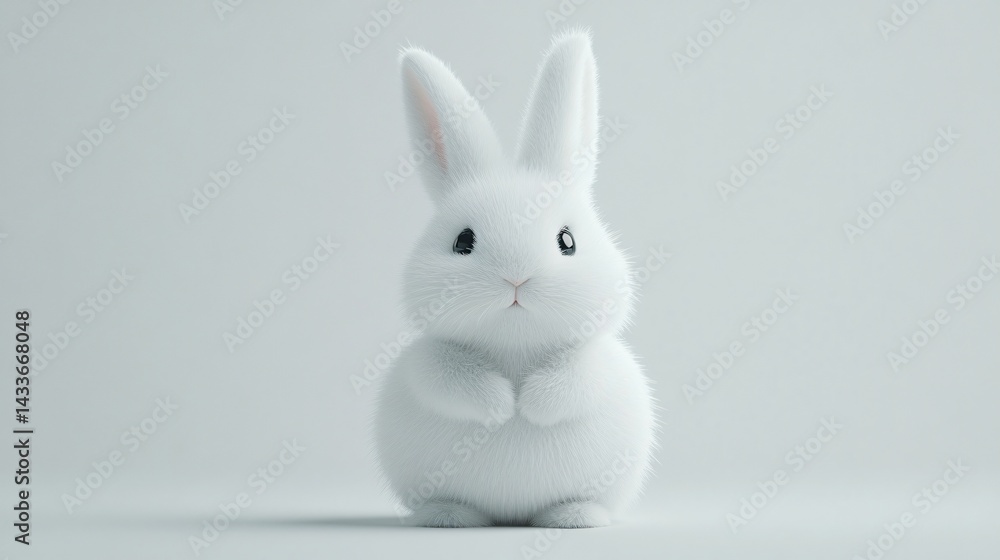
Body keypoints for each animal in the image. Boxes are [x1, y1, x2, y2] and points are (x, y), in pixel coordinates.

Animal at [374, 30, 656, 528]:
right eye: (462, 241)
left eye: (568, 241)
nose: (516, 280)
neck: (515, 344)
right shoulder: (426, 361)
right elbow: (444, 377)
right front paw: (503, 405)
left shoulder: (599, 359)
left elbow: (580, 376)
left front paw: (530, 406)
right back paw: (446, 516)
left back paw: (575, 517)